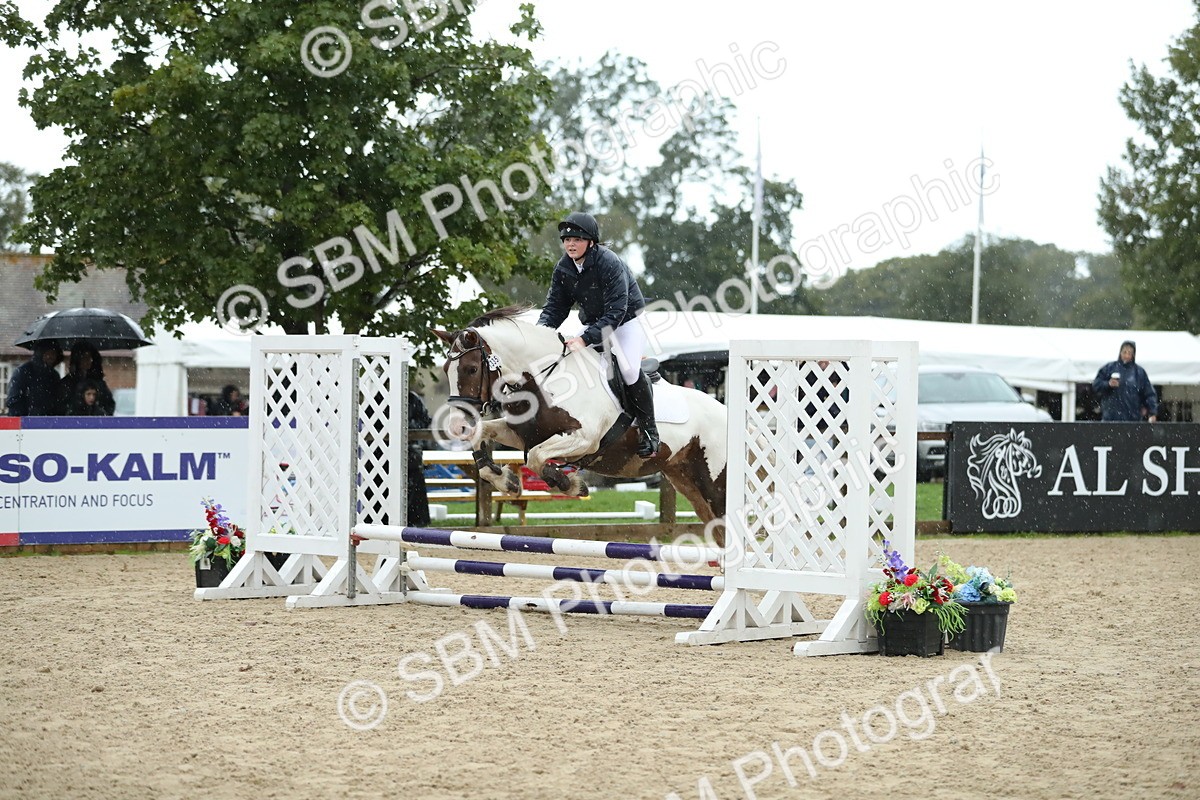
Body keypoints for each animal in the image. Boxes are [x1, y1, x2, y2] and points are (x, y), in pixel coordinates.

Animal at [433, 307, 728, 537]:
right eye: (446, 370)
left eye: (471, 369)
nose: (458, 426)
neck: (544, 379)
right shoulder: (522, 434)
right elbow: (483, 437)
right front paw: (507, 481)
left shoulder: (583, 439)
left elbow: (536, 458)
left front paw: (571, 485)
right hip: (686, 480)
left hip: (715, 484)